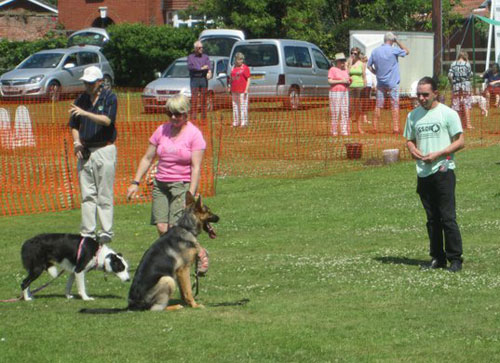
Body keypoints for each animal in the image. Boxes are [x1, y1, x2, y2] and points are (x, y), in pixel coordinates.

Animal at [81, 192, 218, 314]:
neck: (186, 227)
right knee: (156, 309)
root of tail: (132, 305)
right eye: (209, 211)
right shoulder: (183, 270)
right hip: (167, 279)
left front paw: (187, 303)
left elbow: (184, 291)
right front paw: (194, 305)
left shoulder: (179, 273)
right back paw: (174, 307)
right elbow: (188, 291)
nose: (219, 217)